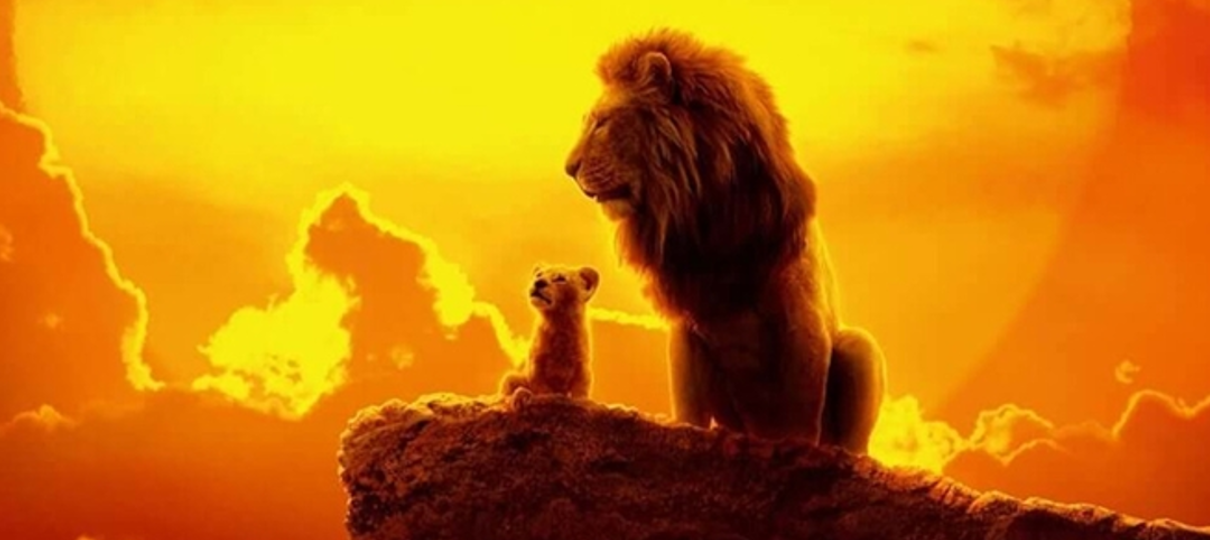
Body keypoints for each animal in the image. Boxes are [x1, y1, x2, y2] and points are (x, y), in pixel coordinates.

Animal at [500, 264, 599, 399]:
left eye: (560, 278)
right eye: (539, 275)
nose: (538, 282)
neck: (558, 323)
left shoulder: (582, 365)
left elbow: (581, 389)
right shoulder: (535, 363)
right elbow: (541, 386)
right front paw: (546, 396)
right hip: (511, 377)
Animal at [562, 28, 886, 453]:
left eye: (603, 123)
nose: (568, 169)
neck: (704, 212)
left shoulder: (804, 317)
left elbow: (803, 411)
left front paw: (799, 451)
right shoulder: (687, 322)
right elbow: (689, 405)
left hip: (861, 346)